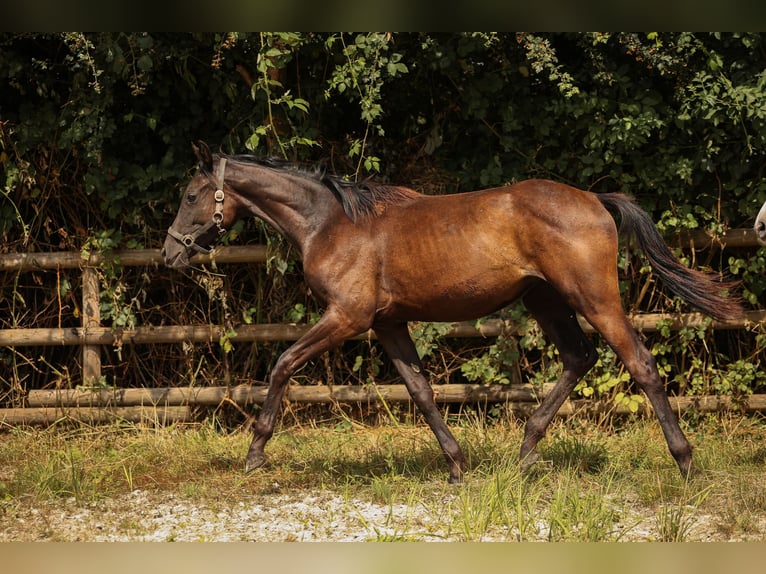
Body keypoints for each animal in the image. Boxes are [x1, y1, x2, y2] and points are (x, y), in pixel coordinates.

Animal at [162, 142, 744, 484]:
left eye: (191, 195)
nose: (169, 253)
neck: (331, 223)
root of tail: (595, 199)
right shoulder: (386, 323)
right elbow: (420, 391)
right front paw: (457, 466)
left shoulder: (347, 317)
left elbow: (283, 363)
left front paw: (255, 453)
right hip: (545, 300)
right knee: (579, 358)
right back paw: (525, 453)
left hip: (593, 298)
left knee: (639, 363)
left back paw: (685, 463)